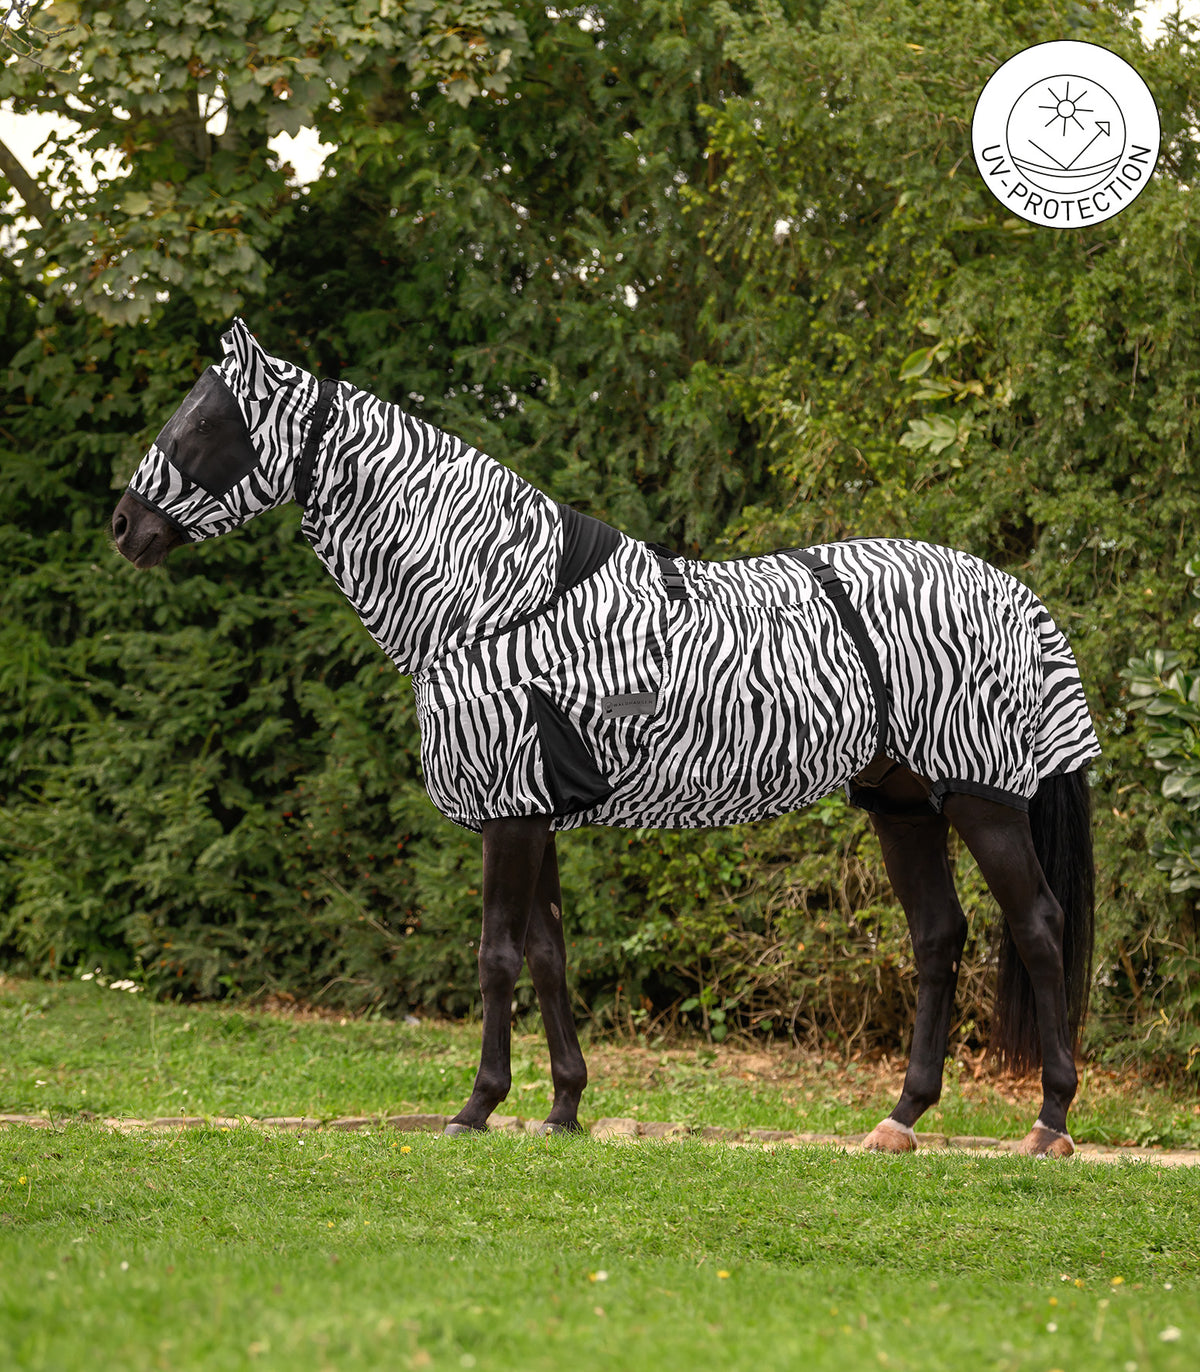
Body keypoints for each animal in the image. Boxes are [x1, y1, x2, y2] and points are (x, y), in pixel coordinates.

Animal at [112, 319, 1101, 1157]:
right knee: (939, 936)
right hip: (901, 804)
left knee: (1039, 927)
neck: (492, 600)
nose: (125, 526)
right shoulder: (533, 811)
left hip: (981, 799)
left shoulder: (510, 813)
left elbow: (495, 957)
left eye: (205, 421)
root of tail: (1014, 592)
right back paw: (901, 1119)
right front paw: (562, 1107)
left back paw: (1050, 1122)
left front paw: (477, 1107)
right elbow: (548, 958)